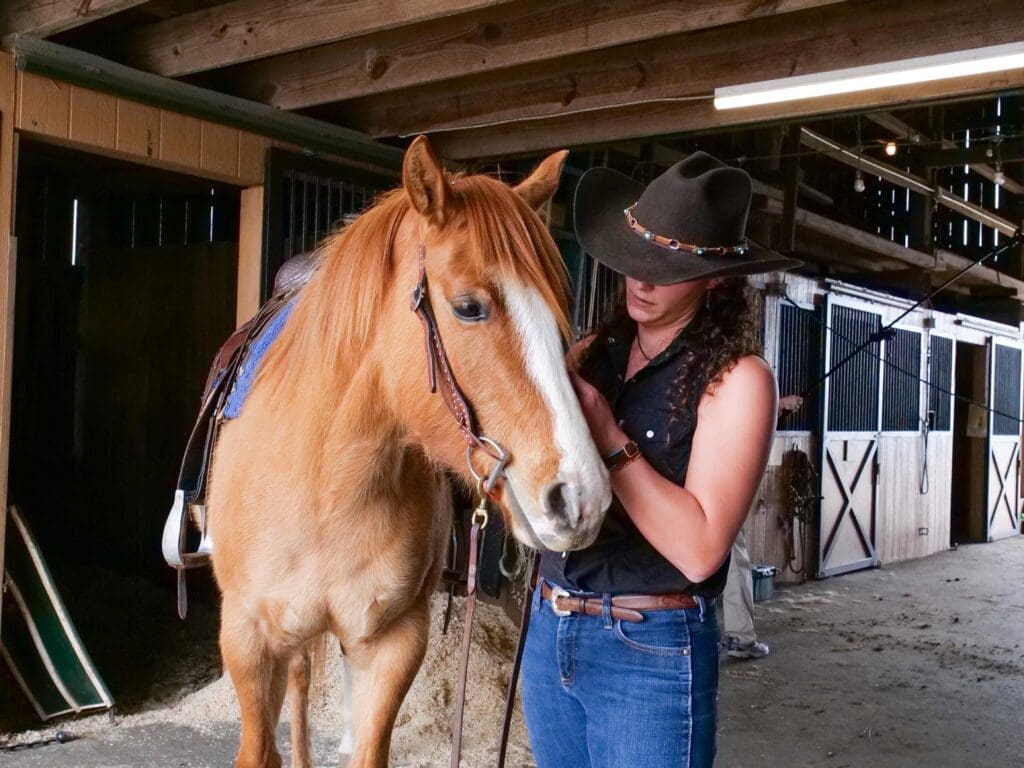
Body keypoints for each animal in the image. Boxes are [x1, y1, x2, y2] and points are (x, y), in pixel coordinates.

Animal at [203, 138, 610, 768]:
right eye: (468, 307)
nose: (579, 498)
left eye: (559, 310)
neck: (327, 482)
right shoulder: (248, 639)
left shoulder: (395, 643)